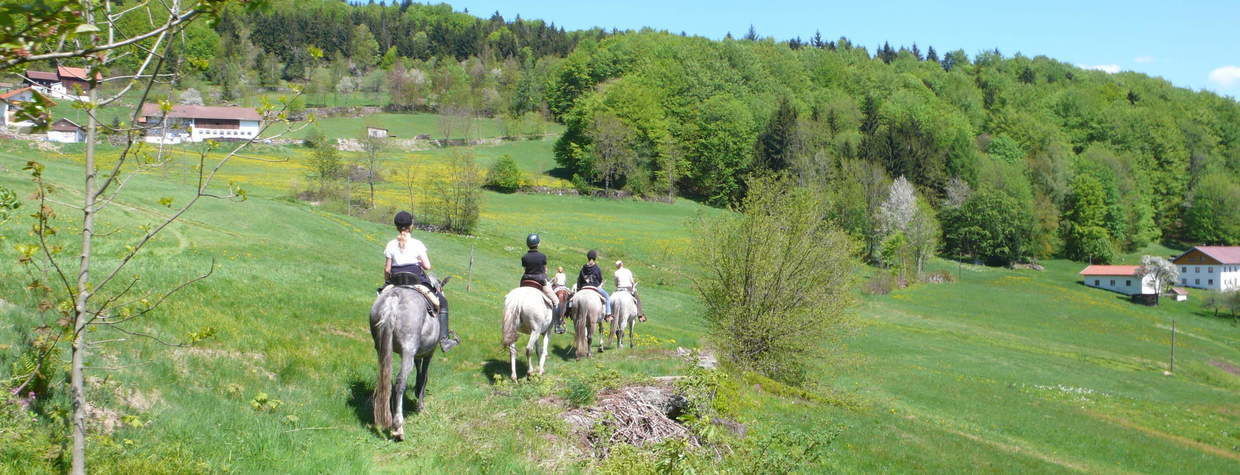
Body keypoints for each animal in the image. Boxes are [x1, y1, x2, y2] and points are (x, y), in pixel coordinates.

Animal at [367, 275, 451, 441]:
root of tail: (393, 300)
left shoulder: (418, 354)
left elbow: (419, 372)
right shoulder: (429, 353)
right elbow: (424, 376)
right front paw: (421, 405)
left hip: (382, 348)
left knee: (385, 378)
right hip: (408, 351)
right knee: (400, 382)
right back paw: (398, 427)